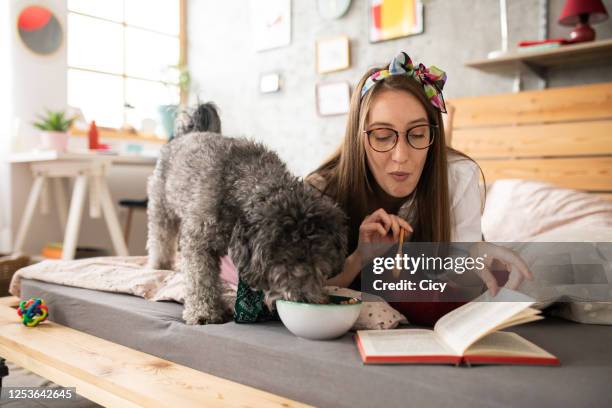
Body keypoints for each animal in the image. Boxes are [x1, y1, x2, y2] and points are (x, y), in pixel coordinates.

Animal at [148, 103, 346, 326]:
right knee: (160, 238)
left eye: (320, 263)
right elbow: (201, 279)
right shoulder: (199, 242)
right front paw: (204, 312)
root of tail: (189, 133)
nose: (305, 299)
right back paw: (160, 264)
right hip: (161, 207)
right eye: (286, 261)